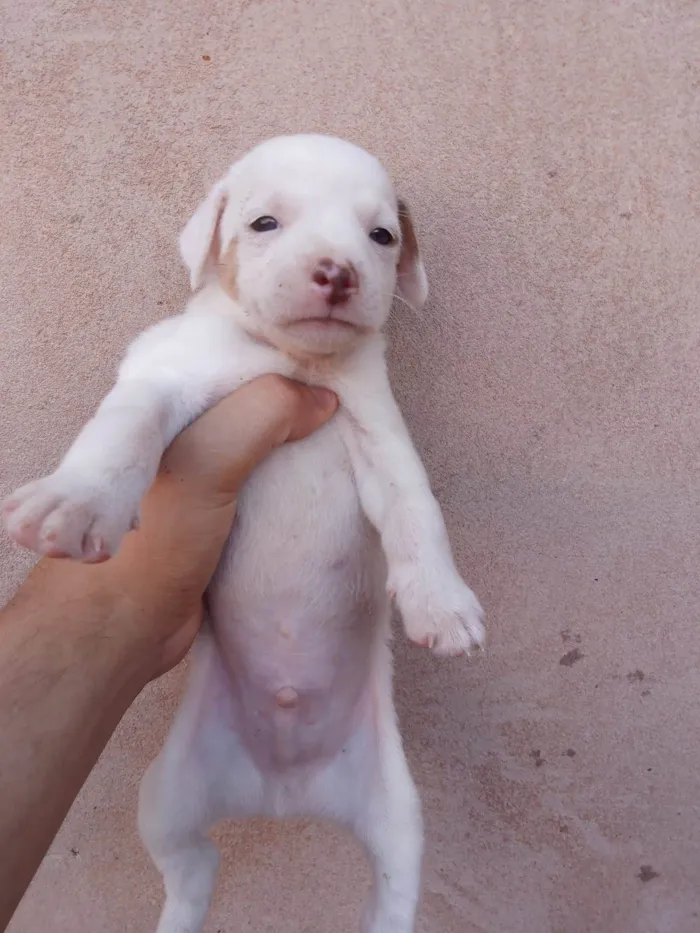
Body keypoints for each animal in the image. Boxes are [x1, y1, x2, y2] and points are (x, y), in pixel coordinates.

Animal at [4, 133, 486, 932]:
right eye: (265, 223)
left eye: (381, 236)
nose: (337, 272)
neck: (292, 360)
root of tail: (283, 792)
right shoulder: (167, 379)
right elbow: (125, 431)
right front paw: (78, 500)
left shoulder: (380, 436)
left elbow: (420, 512)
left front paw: (442, 605)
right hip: (166, 798)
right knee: (193, 870)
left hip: (399, 815)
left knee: (391, 889)